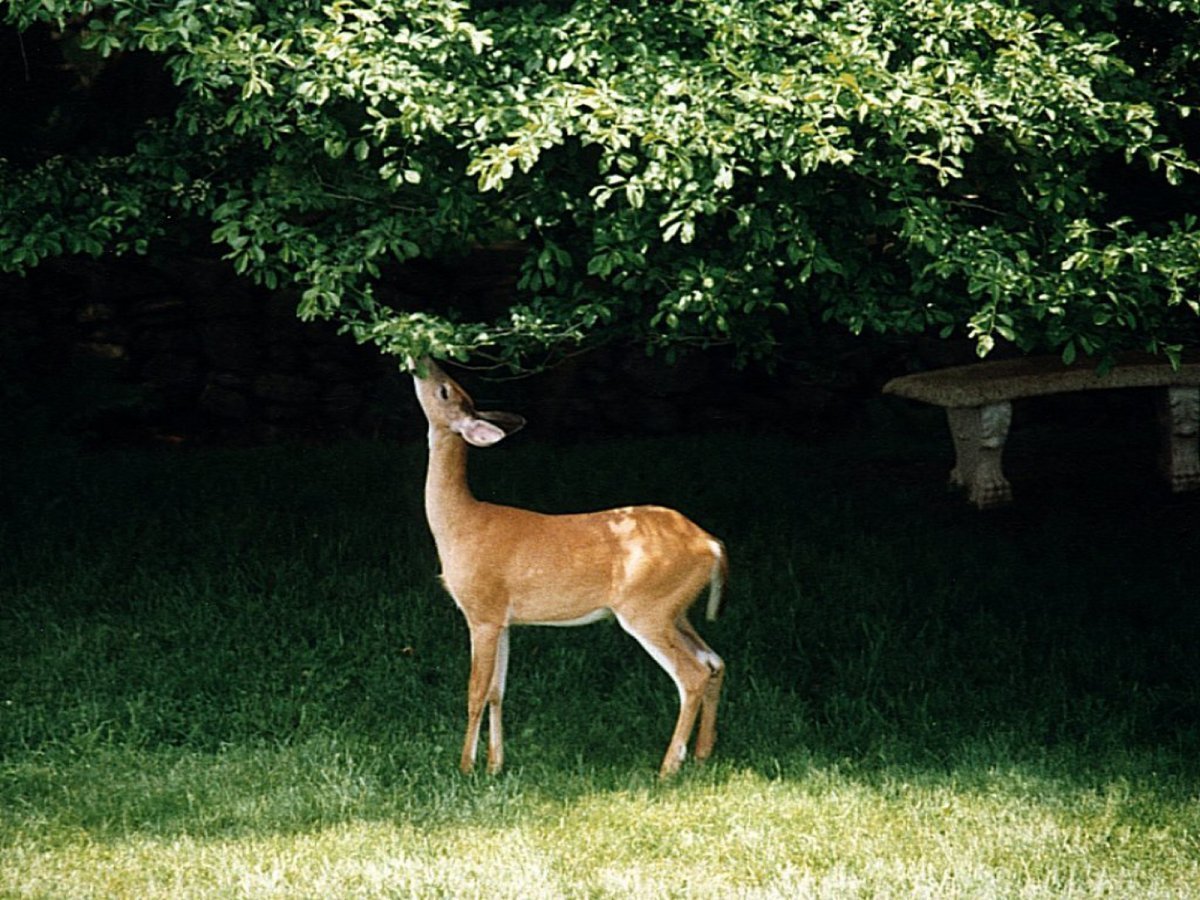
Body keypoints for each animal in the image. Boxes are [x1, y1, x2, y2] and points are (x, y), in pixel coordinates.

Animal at [412, 360, 724, 782]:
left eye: (444, 390)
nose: (421, 361)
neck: (461, 524)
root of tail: (711, 544)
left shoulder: (481, 610)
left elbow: (475, 691)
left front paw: (465, 767)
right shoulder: (504, 619)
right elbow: (497, 691)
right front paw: (495, 766)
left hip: (648, 608)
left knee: (692, 674)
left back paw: (668, 767)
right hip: (676, 610)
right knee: (714, 662)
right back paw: (703, 754)